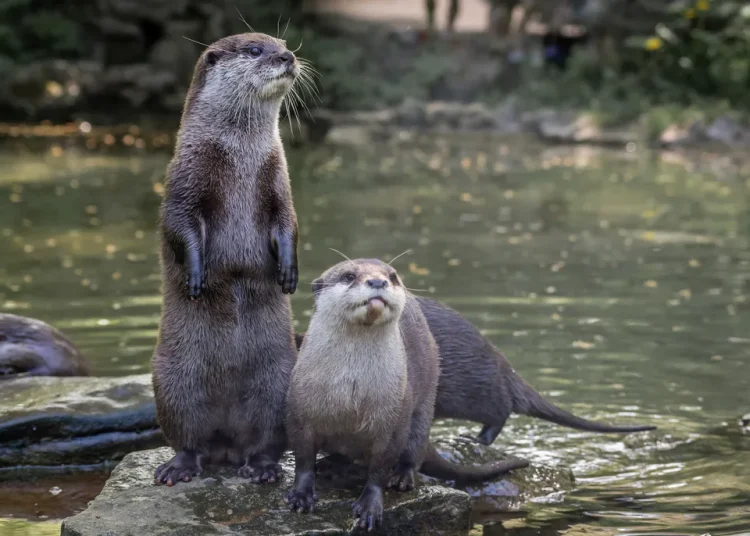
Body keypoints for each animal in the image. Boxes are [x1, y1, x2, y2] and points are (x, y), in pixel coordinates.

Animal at [152, 32, 301, 486]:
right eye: (255, 50)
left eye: (282, 42)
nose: (288, 56)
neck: (240, 157)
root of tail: (227, 443)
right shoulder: (183, 176)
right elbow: (179, 225)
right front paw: (196, 275)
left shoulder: (279, 177)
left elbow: (288, 222)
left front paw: (289, 271)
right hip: (172, 380)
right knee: (188, 437)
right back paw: (179, 468)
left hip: (279, 382)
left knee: (265, 438)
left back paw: (263, 468)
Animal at [285, 260, 528, 531]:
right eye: (349, 276)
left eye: (392, 276)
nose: (378, 281)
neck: (351, 392)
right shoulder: (299, 410)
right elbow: (303, 459)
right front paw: (301, 495)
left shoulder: (392, 420)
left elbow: (380, 468)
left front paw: (370, 505)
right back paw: (330, 465)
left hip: (423, 409)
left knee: (415, 450)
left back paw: (403, 476)